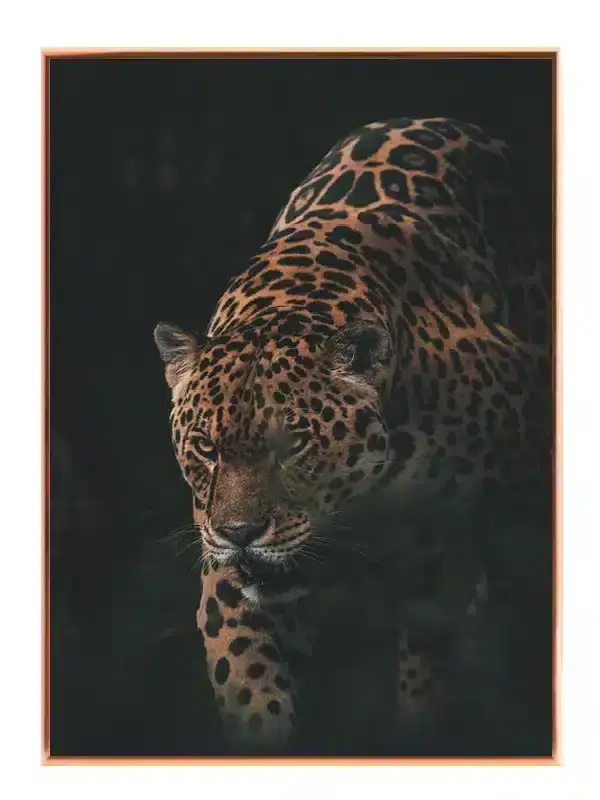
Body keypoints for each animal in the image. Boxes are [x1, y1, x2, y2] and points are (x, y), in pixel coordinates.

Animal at [153, 117, 551, 755]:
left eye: (291, 444)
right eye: (207, 450)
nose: (241, 534)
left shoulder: (443, 564)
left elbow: (431, 680)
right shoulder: (227, 580)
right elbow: (249, 684)